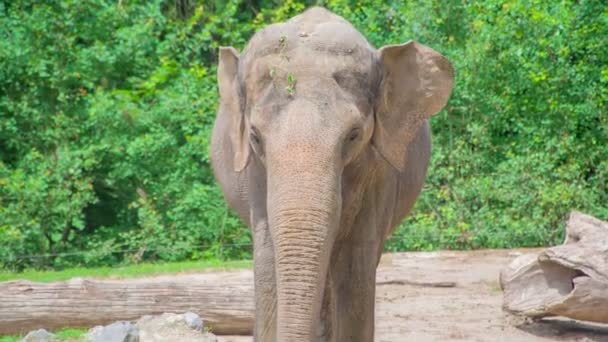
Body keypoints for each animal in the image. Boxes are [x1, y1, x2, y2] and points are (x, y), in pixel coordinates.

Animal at [211, 6, 454, 342]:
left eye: (353, 135)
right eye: (256, 137)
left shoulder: (377, 171)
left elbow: (355, 265)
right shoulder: (256, 173)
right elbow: (268, 261)